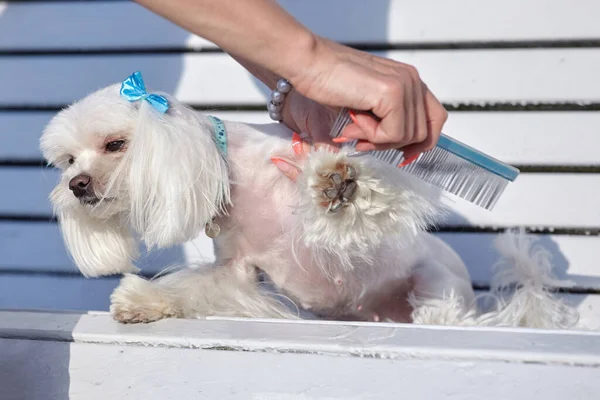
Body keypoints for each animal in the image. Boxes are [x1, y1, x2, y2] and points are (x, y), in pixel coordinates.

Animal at [41, 71, 576, 328]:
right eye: (67, 160)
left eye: (115, 144)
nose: (77, 184)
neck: (229, 171)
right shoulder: (236, 269)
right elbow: (190, 287)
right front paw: (142, 301)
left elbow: (357, 201)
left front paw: (338, 187)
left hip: (436, 279)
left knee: (449, 311)